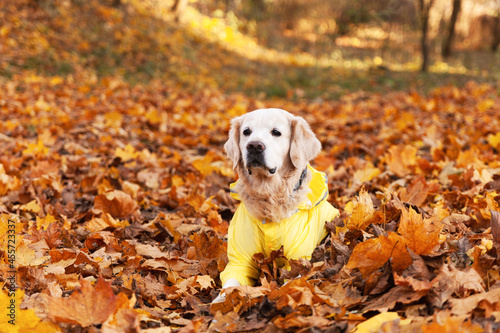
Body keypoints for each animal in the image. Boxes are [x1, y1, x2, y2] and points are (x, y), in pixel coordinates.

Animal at [213, 107, 338, 302]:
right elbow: (230, 283)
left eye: (276, 132)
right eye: (246, 132)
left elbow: (287, 285)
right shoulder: (239, 260)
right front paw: (220, 301)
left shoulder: (298, 261)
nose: (254, 146)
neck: (268, 195)